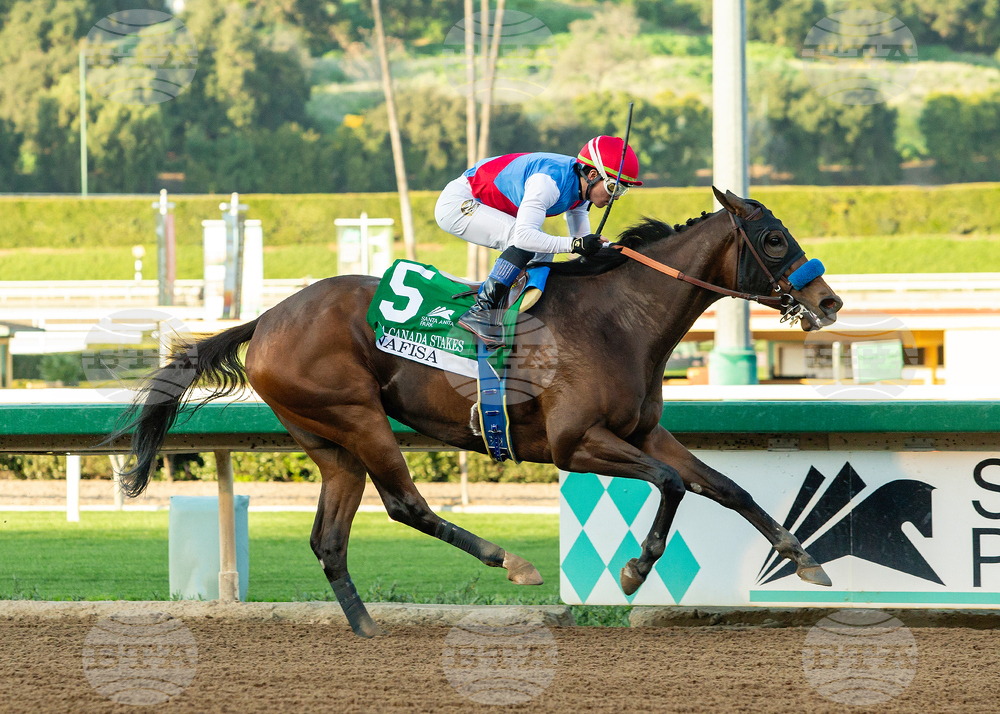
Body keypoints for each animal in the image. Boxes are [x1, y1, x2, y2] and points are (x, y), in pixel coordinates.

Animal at [111, 187, 843, 637]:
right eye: (773, 240)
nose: (830, 301)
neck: (617, 319)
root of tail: (264, 319)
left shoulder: (644, 431)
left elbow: (726, 487)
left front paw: (804, 560)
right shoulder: (577, 442)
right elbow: (669, 485)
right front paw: (636, 569)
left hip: (328, 442)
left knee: (329, 540)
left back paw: (367, 628)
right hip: (358, 417)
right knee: (405, 504)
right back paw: (510, 561)